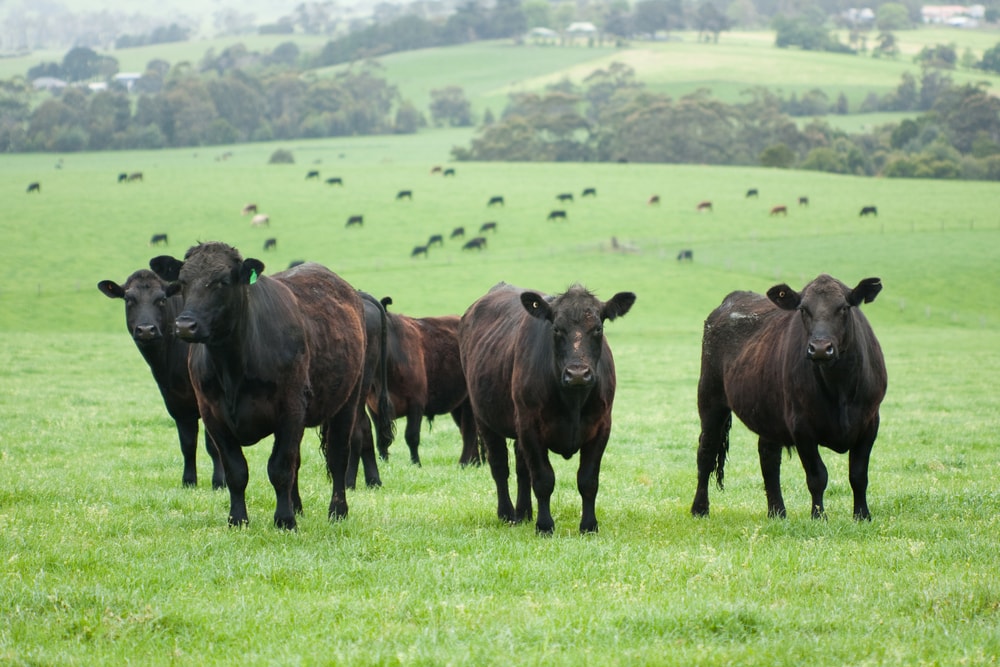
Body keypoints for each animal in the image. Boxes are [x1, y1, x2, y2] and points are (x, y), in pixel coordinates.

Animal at [97, 269, 225, 489]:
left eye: (162, 299)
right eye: (129, 300)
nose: (146, 330)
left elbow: (213, 445)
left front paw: (219, 482)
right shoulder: (176, 401)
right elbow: (187, 443)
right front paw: (188, 481)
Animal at [150, 242, 368, 529]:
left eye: (222, 282)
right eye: (182, 281)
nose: (185, 325)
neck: (232, 368)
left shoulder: (291, 408)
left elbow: (280, 468)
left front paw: (285, 520)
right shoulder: (212, 415)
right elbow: (236, 471)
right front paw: (238, 519)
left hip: (347, 401)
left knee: (337, 457)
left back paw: (337, 512)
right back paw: (298, 507)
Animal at [371, 297, 480, 466]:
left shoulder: (417, 402)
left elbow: (412, 436)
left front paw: (416, 464)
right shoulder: (373, 407)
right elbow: (381, 438)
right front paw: (384, 464)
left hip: (470, 401)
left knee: (469, 431)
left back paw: (464, 463)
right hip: (458, 405)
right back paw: (475, 463)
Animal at [459, 283, 636, 534]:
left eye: (598, 329)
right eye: (556, 329)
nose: (578, 373)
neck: (573, 402)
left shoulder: (602, 426)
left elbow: (588, 480)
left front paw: (589, 526)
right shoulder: (530, 426)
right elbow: (543, 479)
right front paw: (544, 526)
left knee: (522, 468)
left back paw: (524, 512)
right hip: (485, 418)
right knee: (500, 466)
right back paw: (507, 514)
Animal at [691, 274, 886, 521]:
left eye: (843, 307)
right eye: (803, 309)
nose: (820, 348)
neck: (839, 388)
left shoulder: (870, 422)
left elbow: (858, 475)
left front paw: (862, 515)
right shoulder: (801, 426)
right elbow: (817, 476)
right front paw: (818, 517)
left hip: (767, 411)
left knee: (768, 458)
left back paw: (777, 512)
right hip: (710, 398)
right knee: (706, 451)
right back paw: (700, 509)